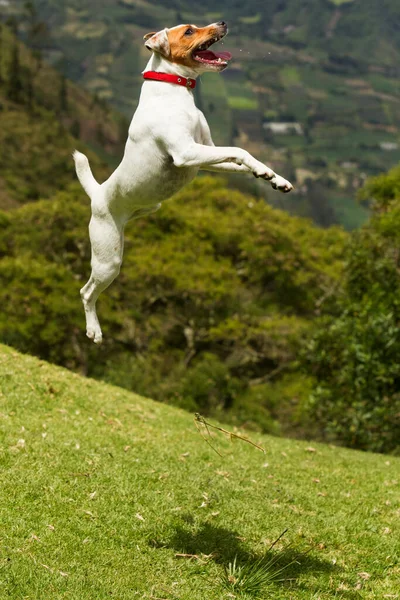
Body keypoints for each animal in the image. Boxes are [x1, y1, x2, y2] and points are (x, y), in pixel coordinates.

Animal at [74, 21, 294, 344]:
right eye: (189, 31)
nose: (222, 22)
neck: (173, 88)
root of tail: (98, 193)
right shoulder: (187, 152)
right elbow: (241, 150)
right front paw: (263, 171)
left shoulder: (205, 154)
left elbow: (240, 161)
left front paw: (273, 177)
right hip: (107, 259)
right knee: (87, 291)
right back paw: (94, 329)